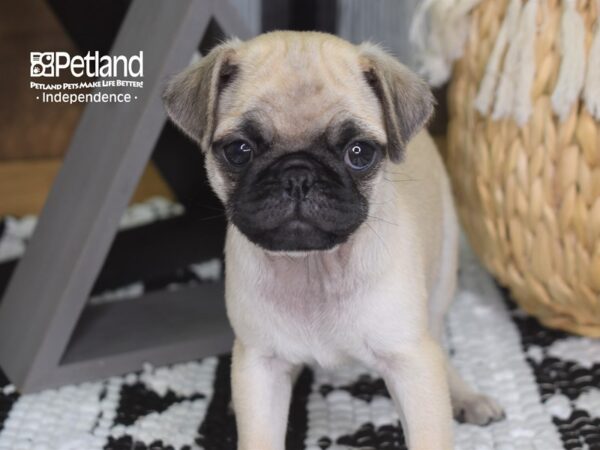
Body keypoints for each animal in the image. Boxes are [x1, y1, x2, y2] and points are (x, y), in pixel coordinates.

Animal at [162, 29, 504, 448]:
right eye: (239, 151)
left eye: (359, 153)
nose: (297, 175)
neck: (314, 267)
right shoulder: (260, 364)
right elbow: (259, 431)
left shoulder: (410, 361)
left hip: (442, 281)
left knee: (439, 341)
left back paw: (466, 395)